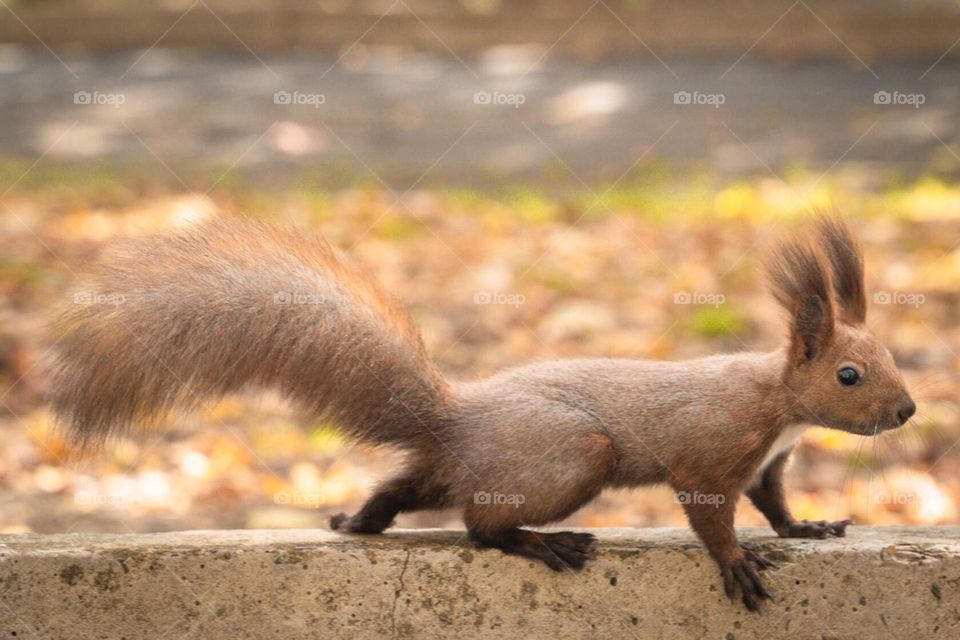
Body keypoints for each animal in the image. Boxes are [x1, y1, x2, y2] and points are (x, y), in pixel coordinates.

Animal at [49, 214, 915, 611]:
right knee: (477, 525)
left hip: (468, 465)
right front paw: (735, 564)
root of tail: (452, 418)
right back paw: (542, 543)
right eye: (848, 374)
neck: (778, 403)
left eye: (893, 355)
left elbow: (775, 505)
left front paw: (810, 528)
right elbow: (711, 512)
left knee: (414, 486)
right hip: (573, 455)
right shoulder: (715, 450)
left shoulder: (769, 461)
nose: (906, 411)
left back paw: (360, 519)